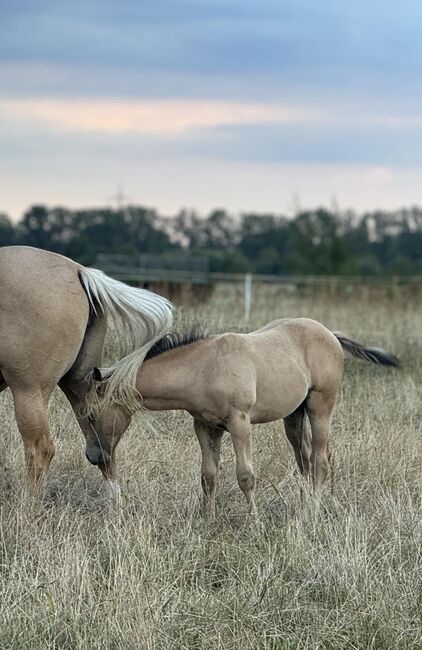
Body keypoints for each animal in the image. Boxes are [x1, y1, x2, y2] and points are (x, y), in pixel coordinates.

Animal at [0, 246, 173, 498]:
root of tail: (79, 271)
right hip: (80, 388)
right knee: (105, 451)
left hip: (28, 390)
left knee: (40, 449)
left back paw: (26, 503)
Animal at [88, 316, 398, 520]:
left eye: (90, 416)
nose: (94, 457)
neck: (204, 368)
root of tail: (330, 334)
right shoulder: (205, 426)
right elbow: (208, 476)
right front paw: (207, 520)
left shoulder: (239, 423)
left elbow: (245, 476)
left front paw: (255, 523)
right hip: (294, 416)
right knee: (306, 460)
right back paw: (308, 504)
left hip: (321, 406)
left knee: (320, 461)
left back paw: (310, 514)